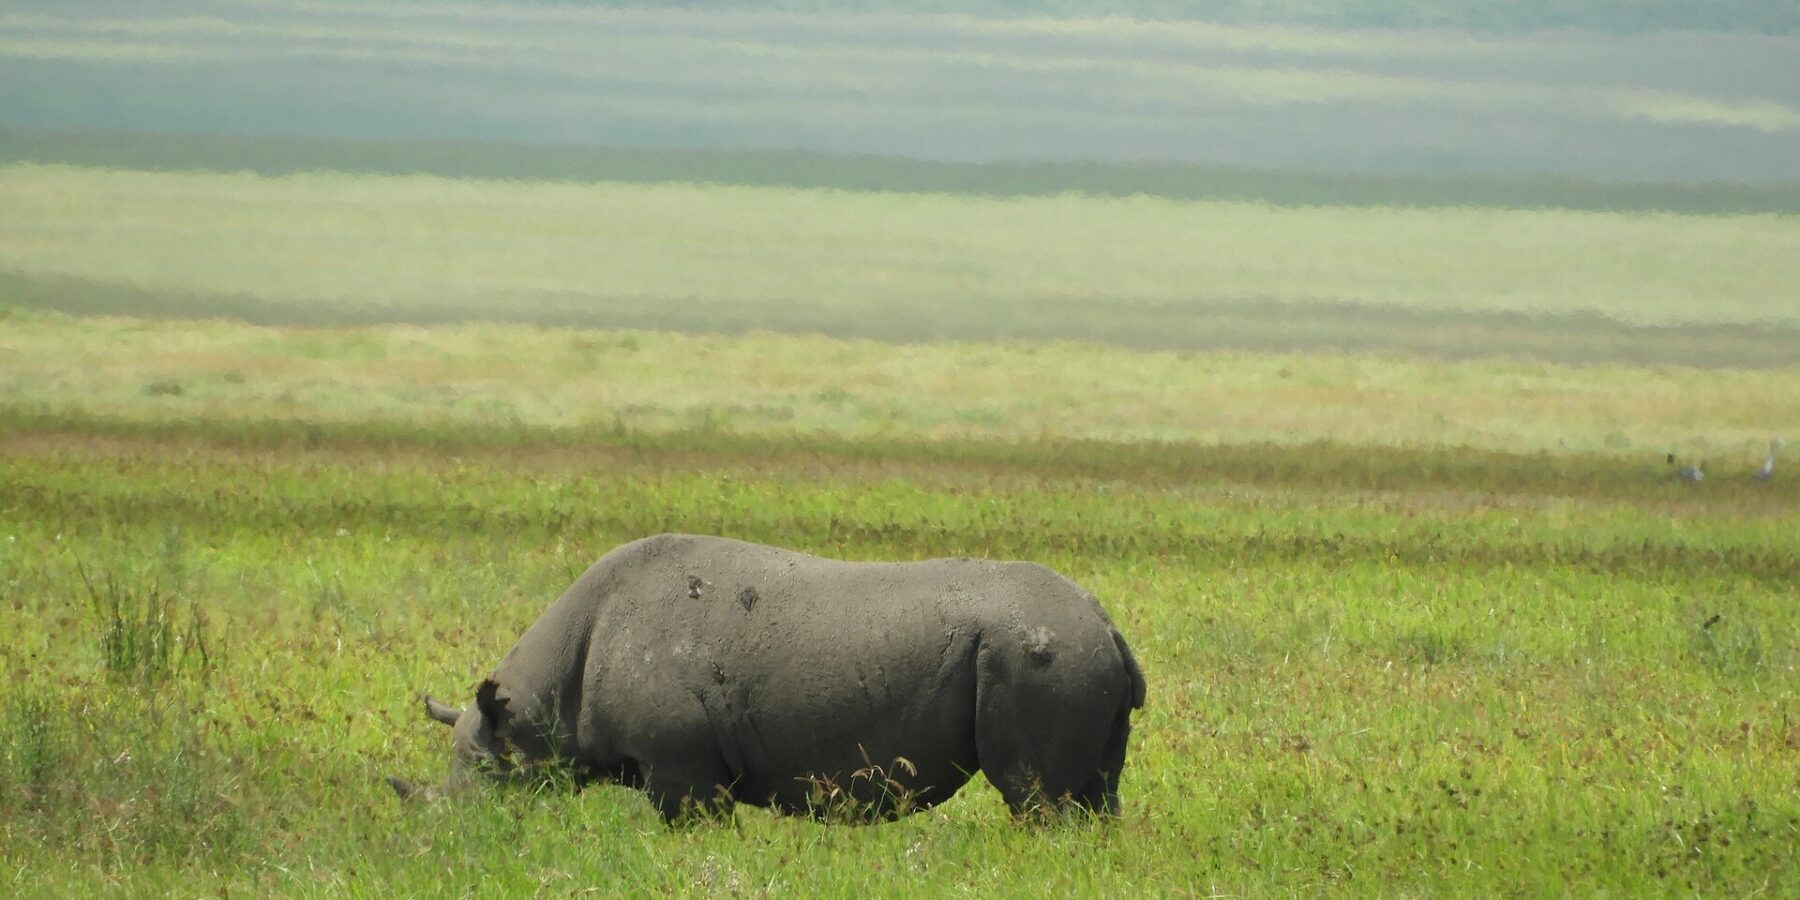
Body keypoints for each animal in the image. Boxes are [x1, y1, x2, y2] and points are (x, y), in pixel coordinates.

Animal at [388, 533, 1146, 822]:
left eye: (489, 781)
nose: (451, 831)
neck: (541, 699)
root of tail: (1107, 624)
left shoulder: (683, 768)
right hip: (1068, 651)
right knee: (1093, 798)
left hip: (1042, 653)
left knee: (1036, 799)